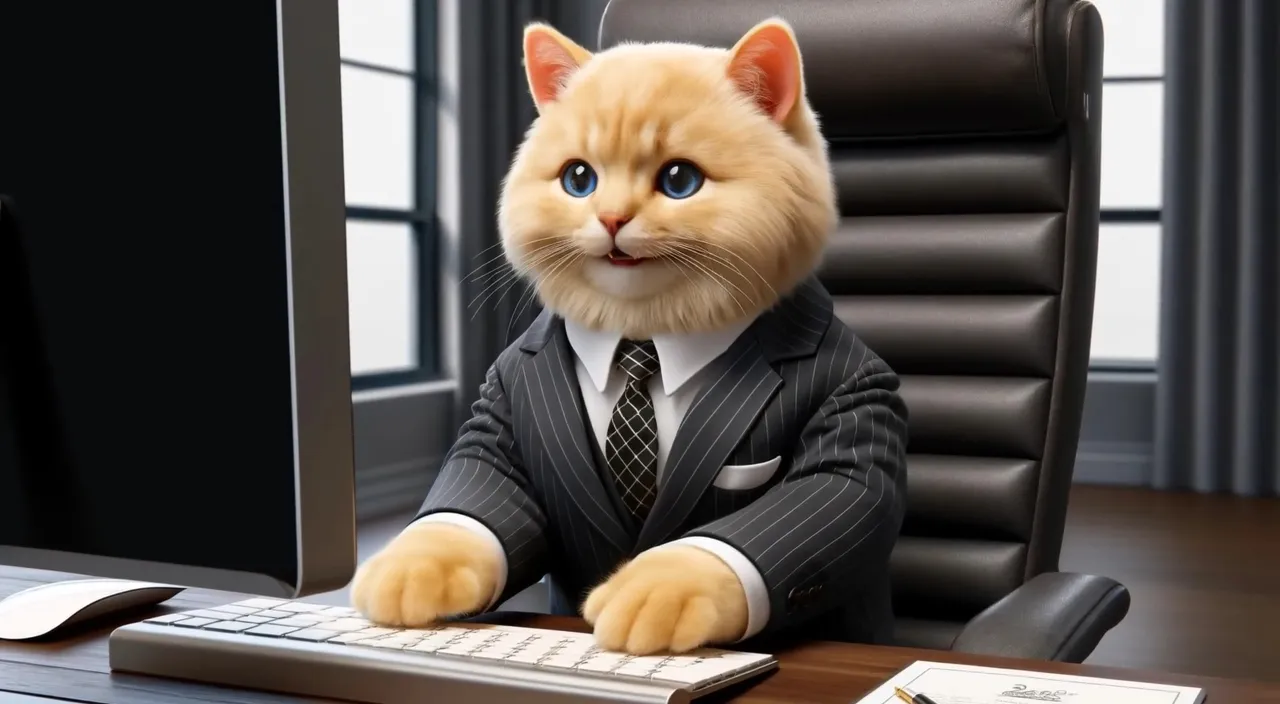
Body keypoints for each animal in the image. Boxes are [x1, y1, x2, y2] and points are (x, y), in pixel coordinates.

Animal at [350, 15, 901, 655]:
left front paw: (659, 589)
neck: (644, 337)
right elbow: (470, 504)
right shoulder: (499, 418)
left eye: (680, 179)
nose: (611, 218)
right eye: (578, 178)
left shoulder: (854, 407)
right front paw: (409, 568)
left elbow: (818, 502)